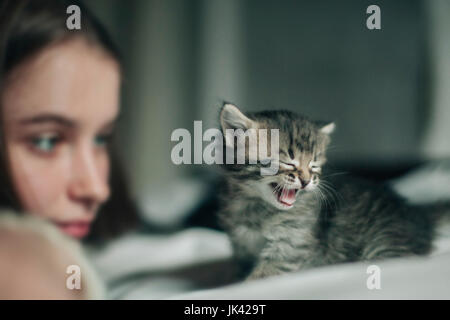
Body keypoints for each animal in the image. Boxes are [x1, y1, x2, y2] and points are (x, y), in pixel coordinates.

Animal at [218, 103, 446, 280]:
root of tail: (416, 213)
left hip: (384, 245)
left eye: (314, 164)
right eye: (287, 162)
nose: (306, 181)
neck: (255, 206)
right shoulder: (242, 248)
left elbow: (261, 277)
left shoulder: (291, 247)